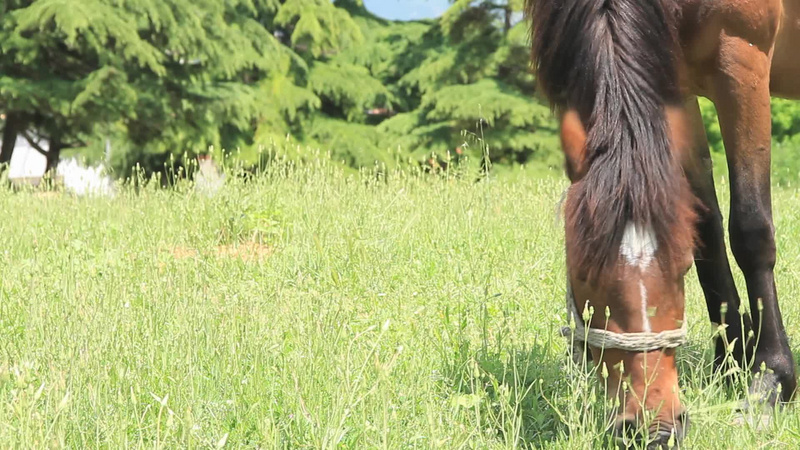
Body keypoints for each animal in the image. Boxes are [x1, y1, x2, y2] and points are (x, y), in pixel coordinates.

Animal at [526, 0, 799, 446]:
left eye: (679, 267)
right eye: (581, 273)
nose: (652, 429)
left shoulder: (743, 56)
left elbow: (750, 230)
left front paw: (771, 379)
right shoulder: (678, 85)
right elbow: (705, 225)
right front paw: (729, 363)